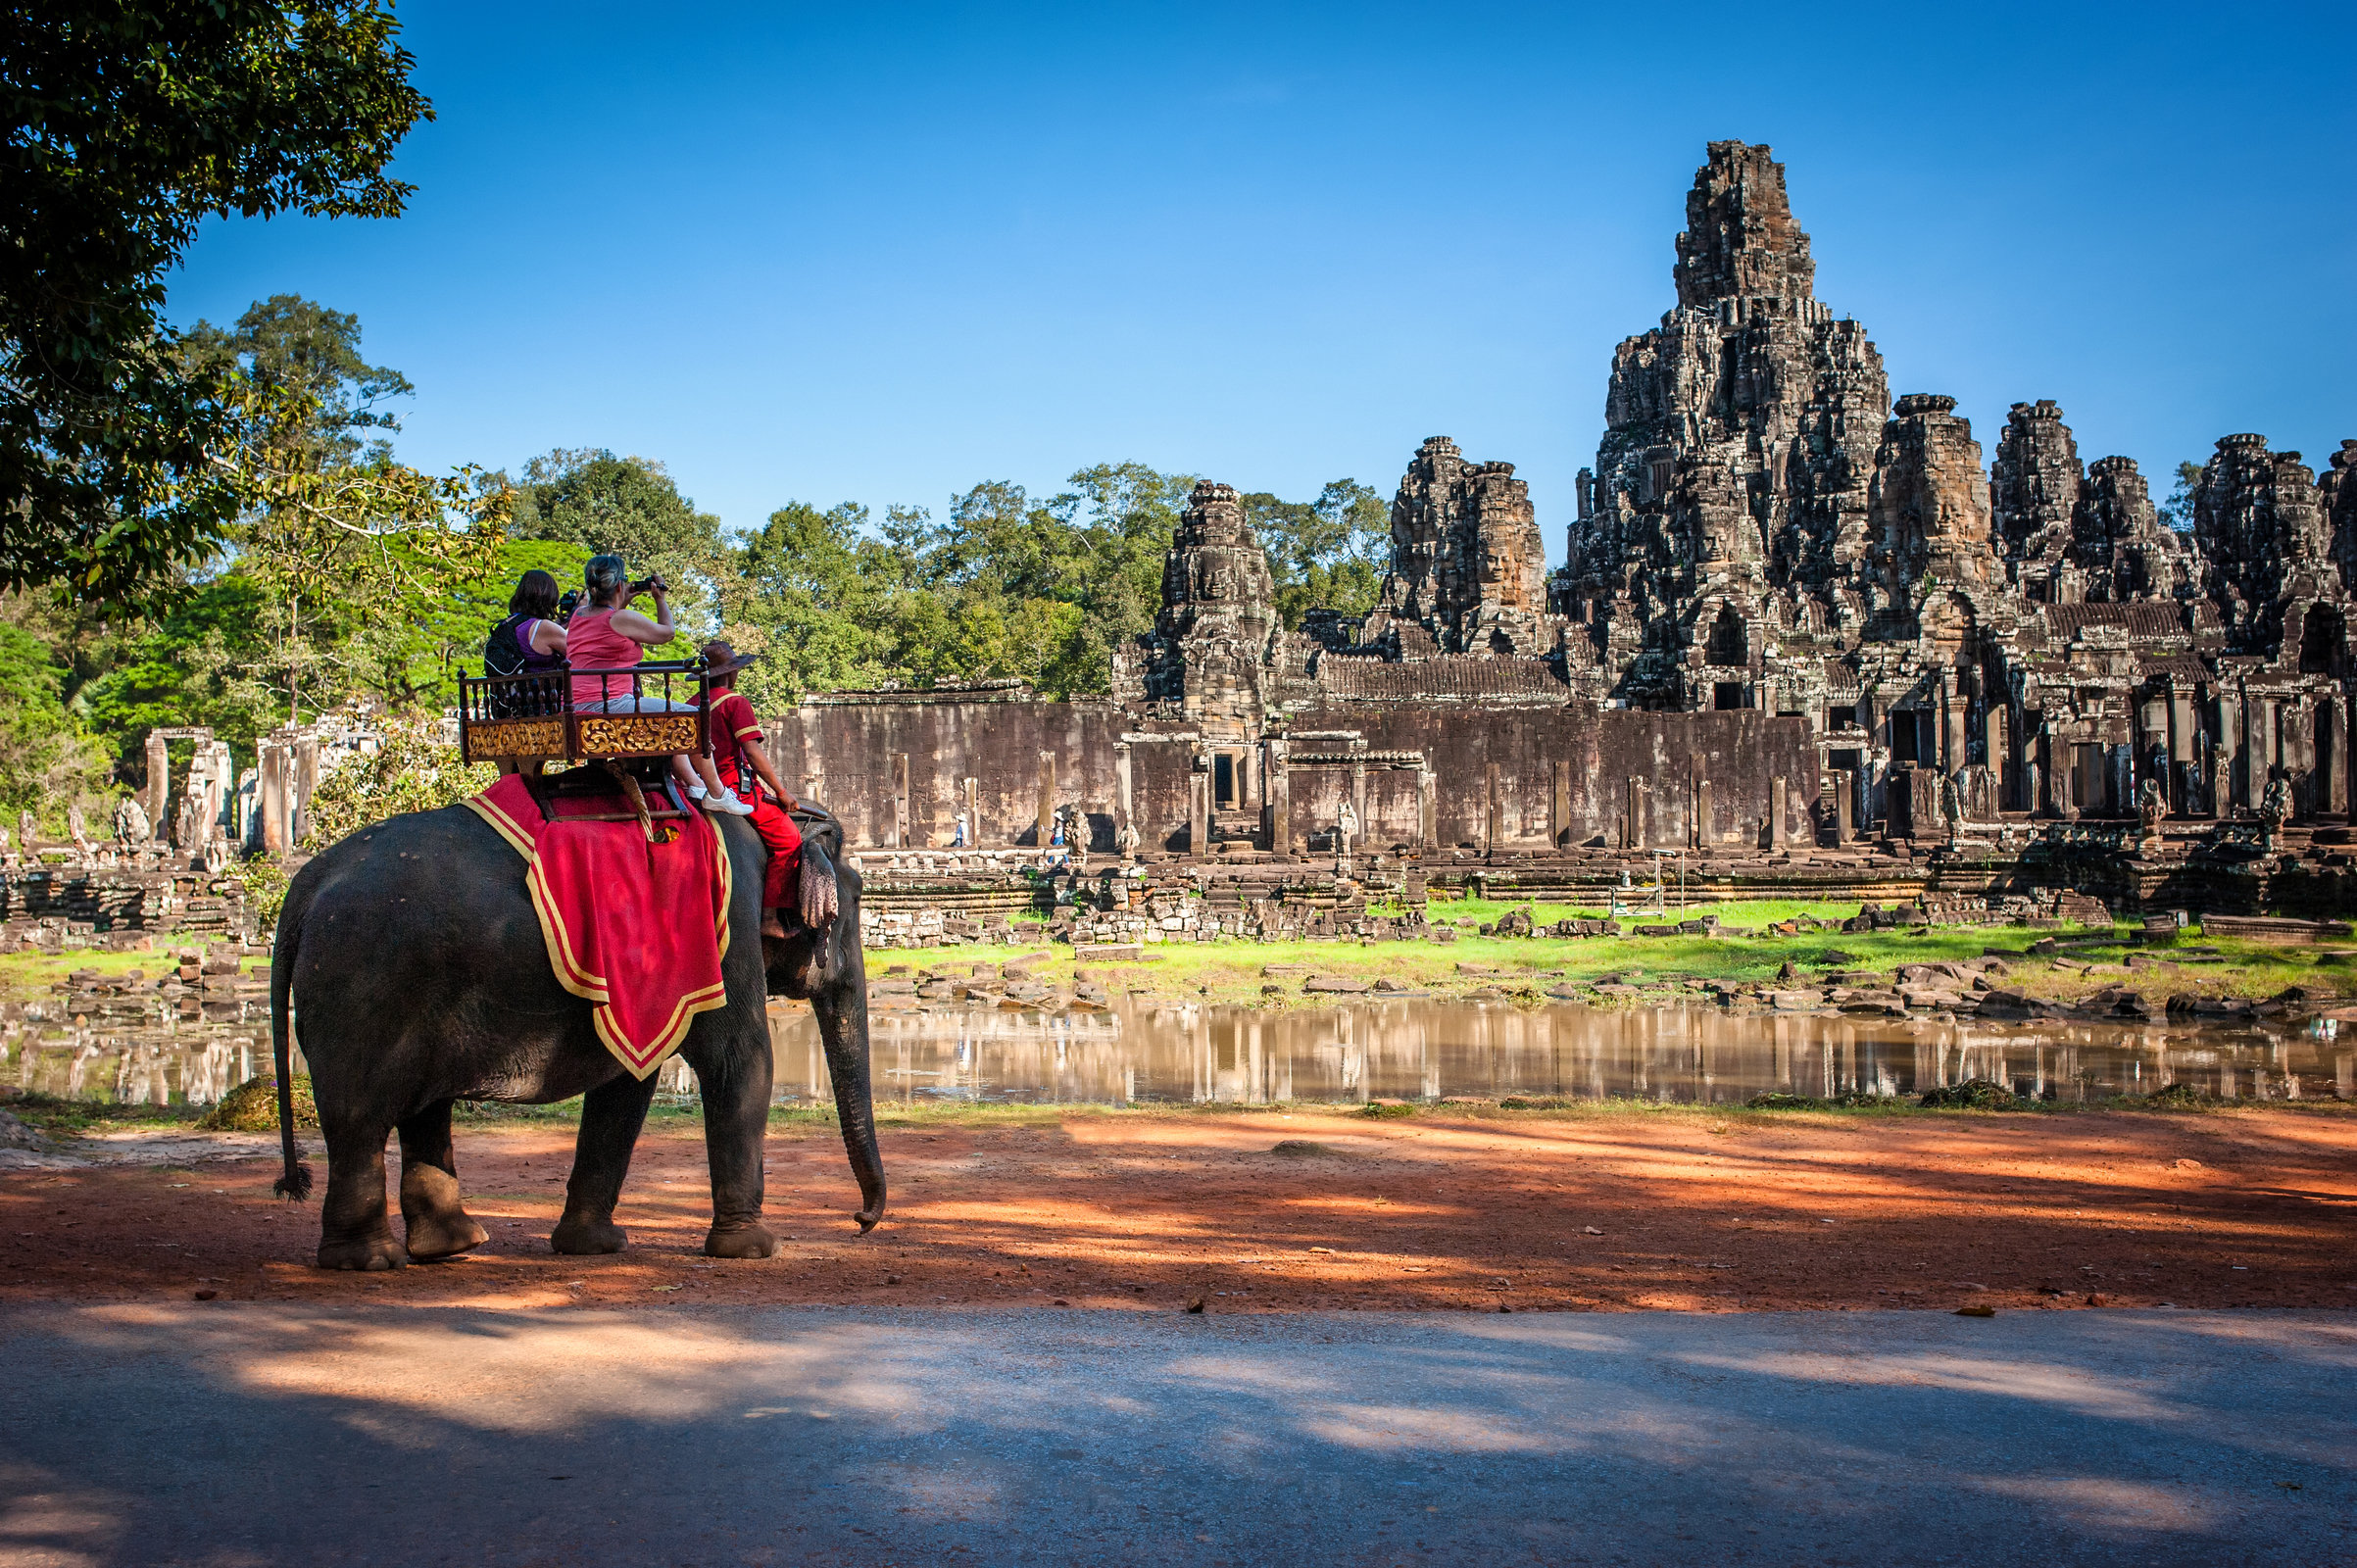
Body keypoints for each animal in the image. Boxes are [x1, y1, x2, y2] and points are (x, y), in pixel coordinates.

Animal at [267, 802, 876, 1263]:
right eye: (853, 901)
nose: (862, 1218)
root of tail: (304, 885)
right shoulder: (725, 929)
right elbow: (741, 1061)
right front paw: (755, 1250)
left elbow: (627, 1086)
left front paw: (594, 1246)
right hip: (362, 989)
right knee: (359, 1120)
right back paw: (370, 1260)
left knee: (420, 1112)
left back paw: (452, 1246)